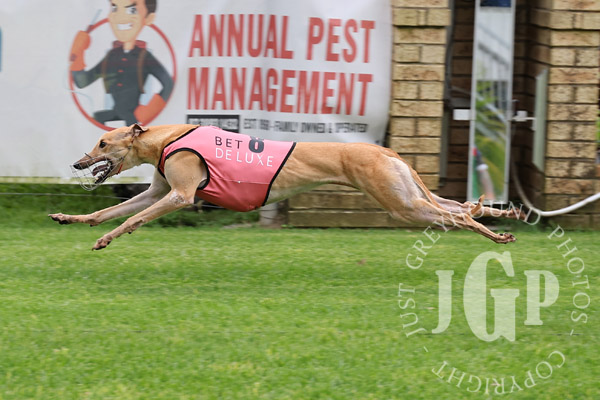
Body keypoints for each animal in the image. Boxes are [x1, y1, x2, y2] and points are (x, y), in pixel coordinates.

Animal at [49, 123, 524, 250]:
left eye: (103, 143)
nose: (77, 162)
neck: (164, 138)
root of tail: (387, 151)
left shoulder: (180, 194)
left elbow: (132, 220)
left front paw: (106, 239)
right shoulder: (155, 192)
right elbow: (107, 212)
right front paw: (70, 218)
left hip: (402, 203)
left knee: (458, 215)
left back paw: (495, 234)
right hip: (408, 194)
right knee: (462, 206)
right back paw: (507, 214)